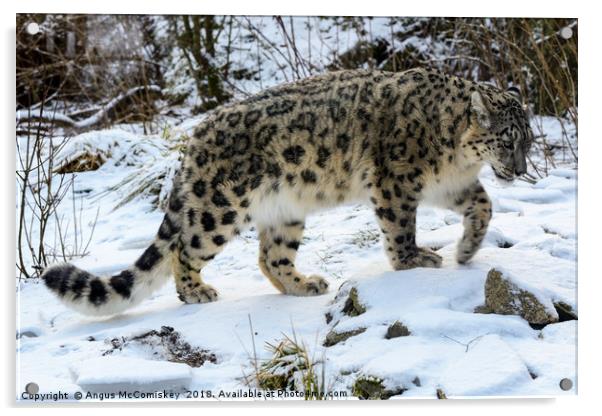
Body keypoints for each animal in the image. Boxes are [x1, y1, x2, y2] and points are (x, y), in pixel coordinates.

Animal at [42, 67, 528, 316]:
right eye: (508, 141)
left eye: (527, 140)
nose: (521, 170)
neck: (456, 158)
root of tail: (195, 137)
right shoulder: (397, 180)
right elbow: (399, 228)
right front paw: (414, 260)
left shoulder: (451, 184)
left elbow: (483, 205)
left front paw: (466, 250)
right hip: (219, 209)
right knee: (185, 247)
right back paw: (197, 292)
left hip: (286, 210)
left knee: (270, 255)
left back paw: (304, 284)